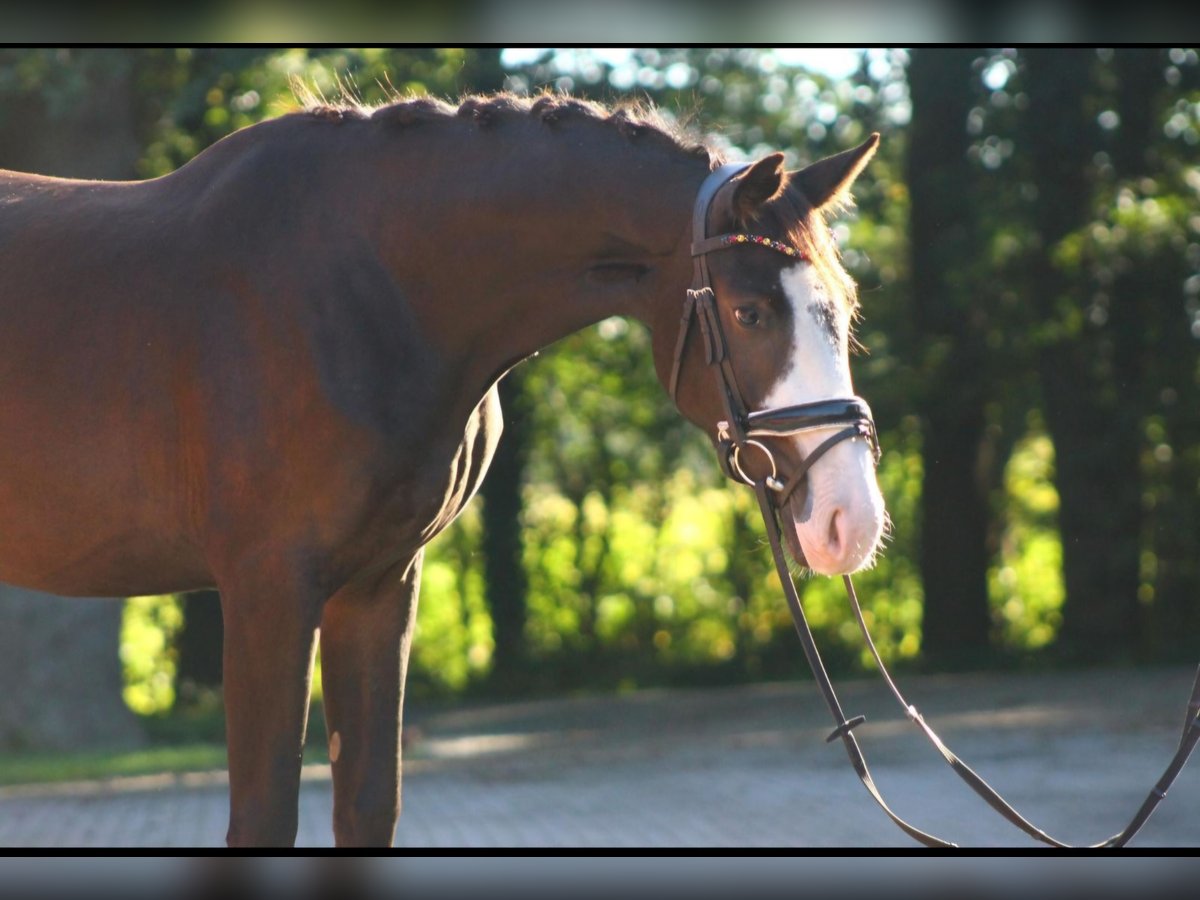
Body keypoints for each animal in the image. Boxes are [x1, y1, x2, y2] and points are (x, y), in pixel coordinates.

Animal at [0, 95, 883, 849]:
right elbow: (263, 816)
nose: (854, 521)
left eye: (845, 305)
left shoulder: (379, 584)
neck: (365, 286)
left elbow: (368, 805)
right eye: (750, 311)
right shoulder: (267, 588)